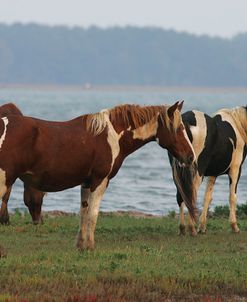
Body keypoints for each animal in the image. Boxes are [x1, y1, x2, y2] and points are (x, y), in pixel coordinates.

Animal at [0, 101, 195, 250]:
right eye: (178, 128)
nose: (191, 156)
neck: (113, 135)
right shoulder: (100, 181)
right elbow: (93, 214)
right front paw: (89, 246)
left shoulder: (86, 183)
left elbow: (84, 212)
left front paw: (81, 245)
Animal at [170, 106, 247, 236]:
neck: (238, 124)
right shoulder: (236, 169)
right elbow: (232, 197)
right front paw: (234, 226)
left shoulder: (213, 174)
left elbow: (208, 197)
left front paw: (202, 227)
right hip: (197, 172)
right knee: (191, 194)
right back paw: (191, 229)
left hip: (177, 172)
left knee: (181, 195)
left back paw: (182, 228)